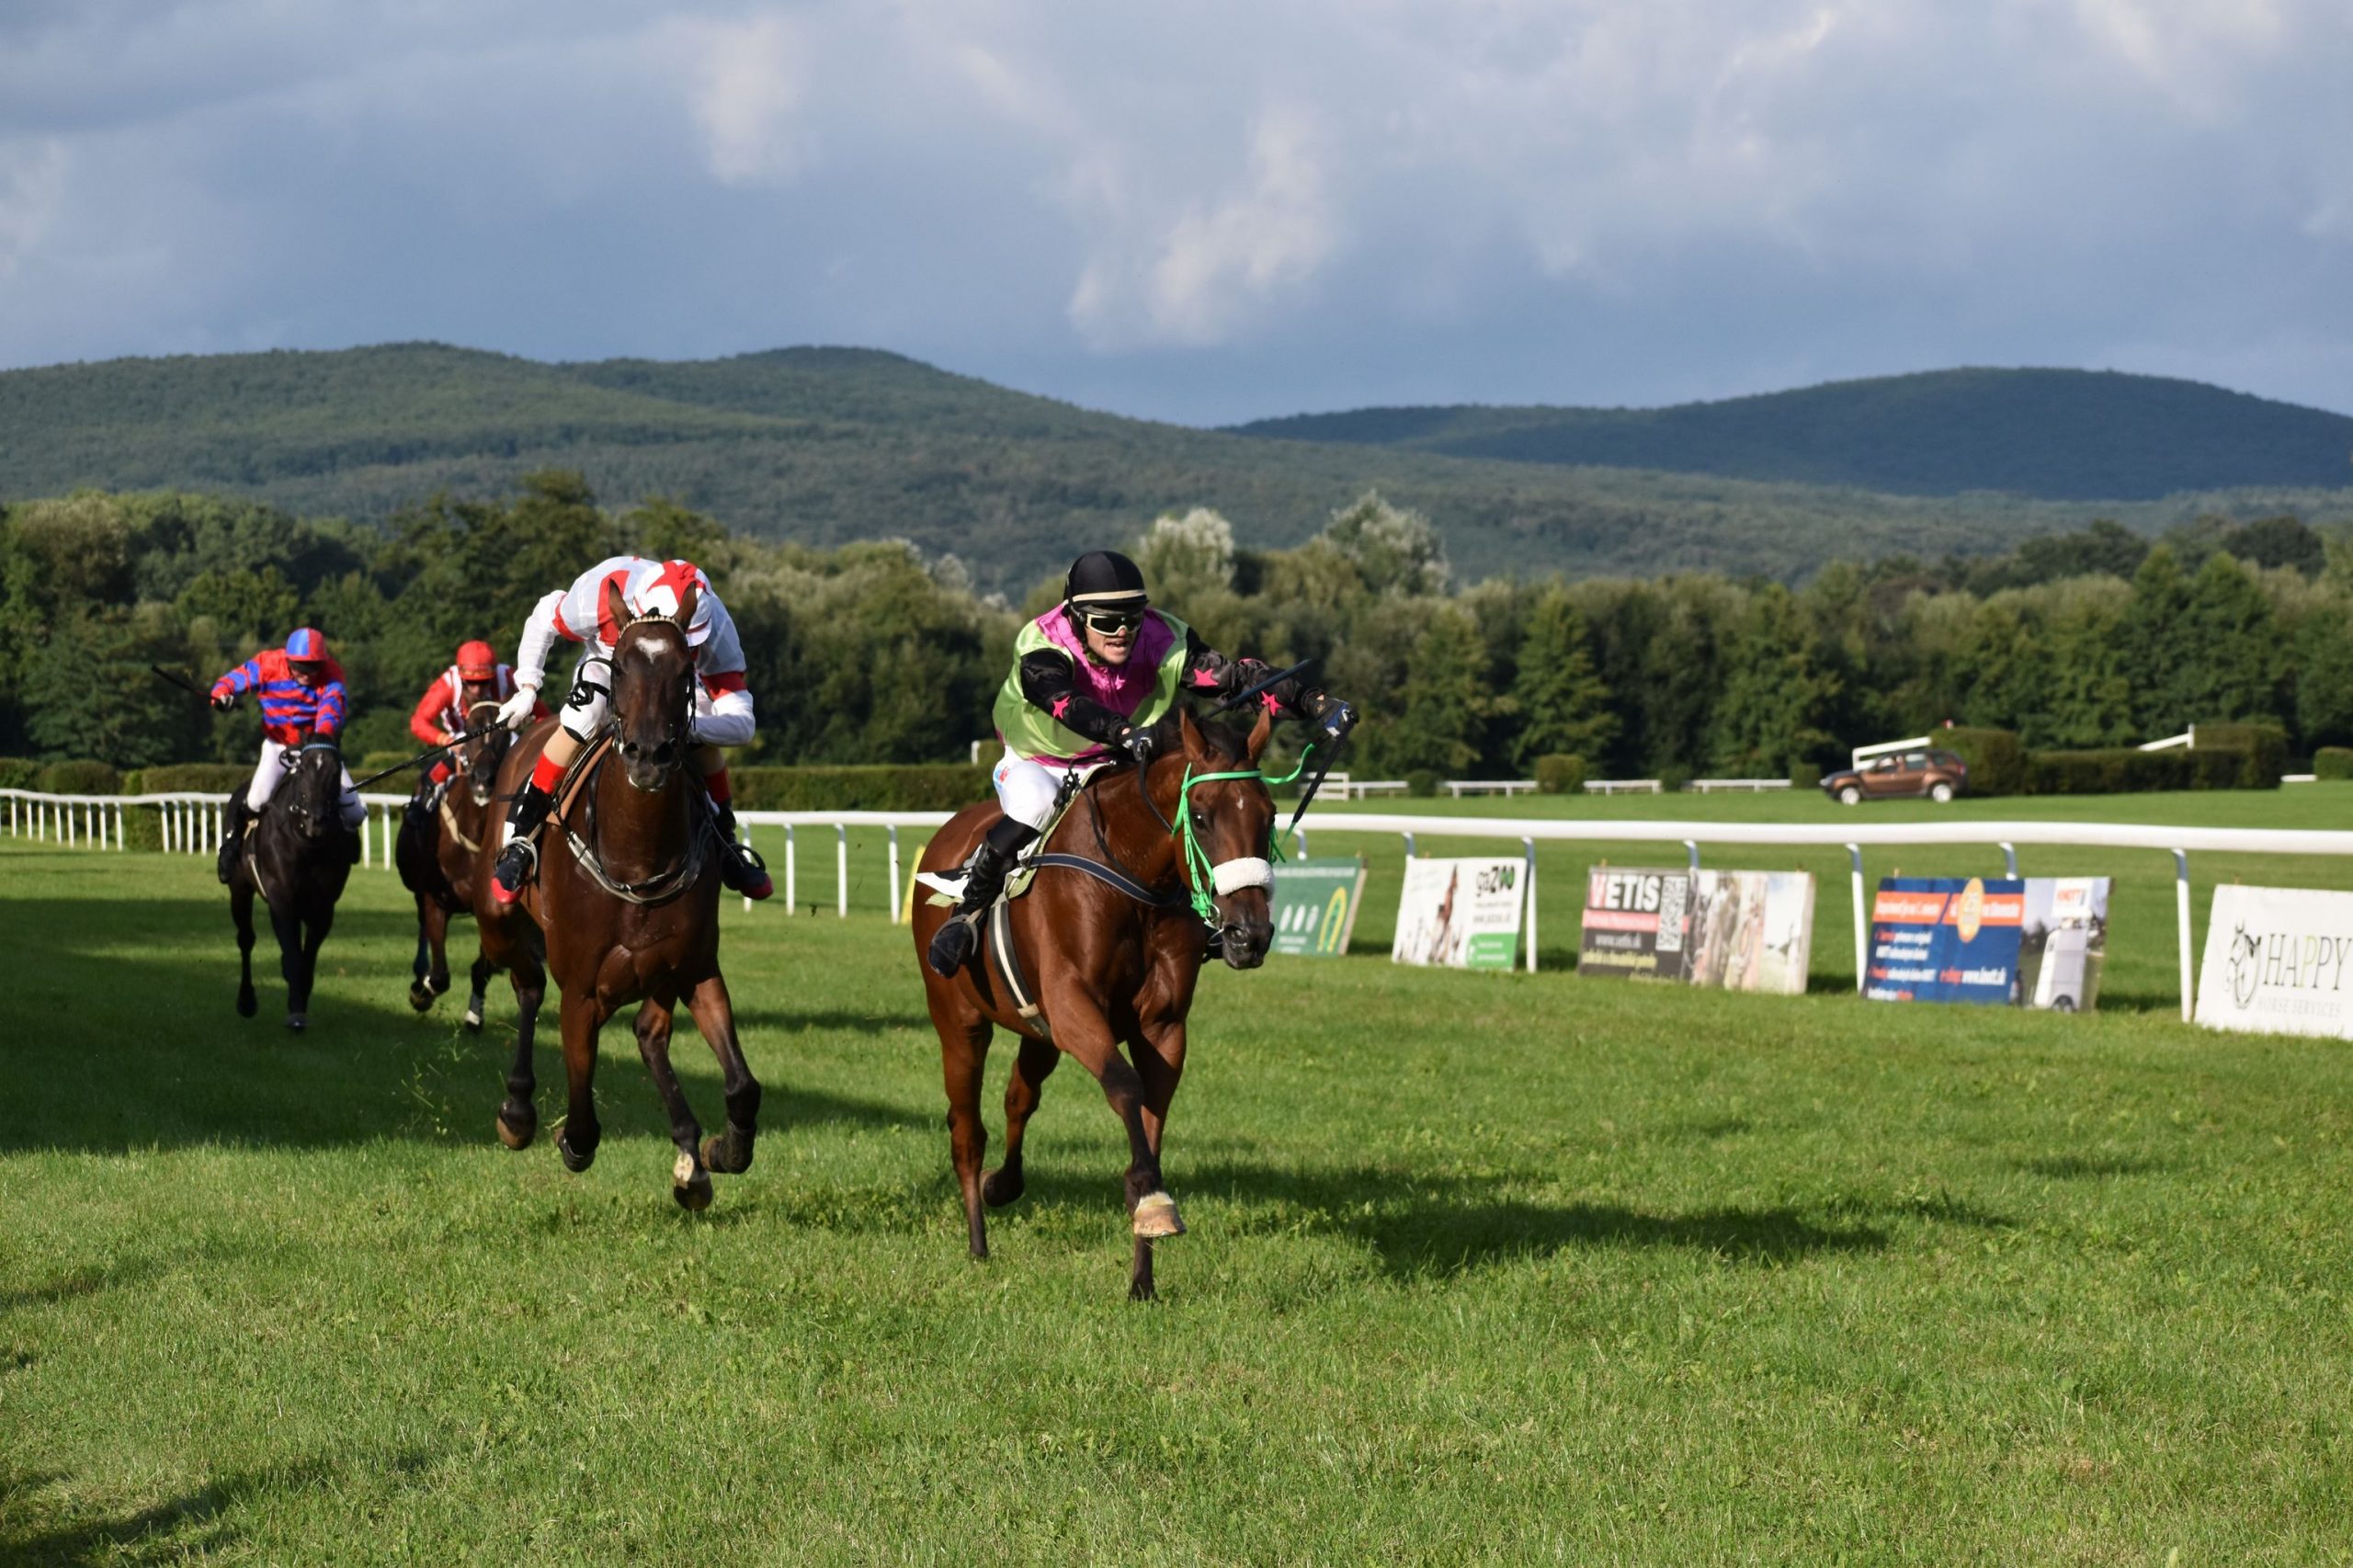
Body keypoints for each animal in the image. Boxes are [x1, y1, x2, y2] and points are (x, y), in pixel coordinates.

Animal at [229, 730, 358, 1026]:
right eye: (302, 769)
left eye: (336, 772)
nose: (315, 821)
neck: (305, 844)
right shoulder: (281, 898)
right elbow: (292, 955)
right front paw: (296, 1009)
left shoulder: (323, 906)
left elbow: (306, 960)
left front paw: (299, 1004)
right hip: (239, 888)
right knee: (246, 939)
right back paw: (246, 1000)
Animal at [395, 682, 515, 1012]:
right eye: (471, 729)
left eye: (505, 731)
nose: (483, 779)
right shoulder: (435, 898)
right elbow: (439, 976)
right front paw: (422, 990)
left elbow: (482, 968)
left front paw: (474, 1014)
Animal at [472, 579, 767, 1200]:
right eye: (624, 665)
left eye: (685, 668)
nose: (650, 755)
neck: (637, 857)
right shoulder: (582, 990)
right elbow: (582, 1120)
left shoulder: (695, 968)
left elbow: (742, 1086)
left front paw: (720, 1148)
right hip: (497, 921)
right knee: (529, 985)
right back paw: (517, 1109)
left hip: (658, 975)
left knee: (649, 1034)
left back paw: (689, 1153)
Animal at [908, 706, 1279, 1290]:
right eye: (1200, 816)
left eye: (1269, 815)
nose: (1249, 934)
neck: (1133, 879)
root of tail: (946, 834)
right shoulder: (1073, 1007)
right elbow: (1124, 1086)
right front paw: (1150, 1199)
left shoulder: (1162, 1027)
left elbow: (1151, 1117)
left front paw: (1143, 1275)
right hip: (959, 1022)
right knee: (966, 1130)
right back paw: (978, 1242)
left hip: (1037, 1031)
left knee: (1019, 1097)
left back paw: (1002, 1185)